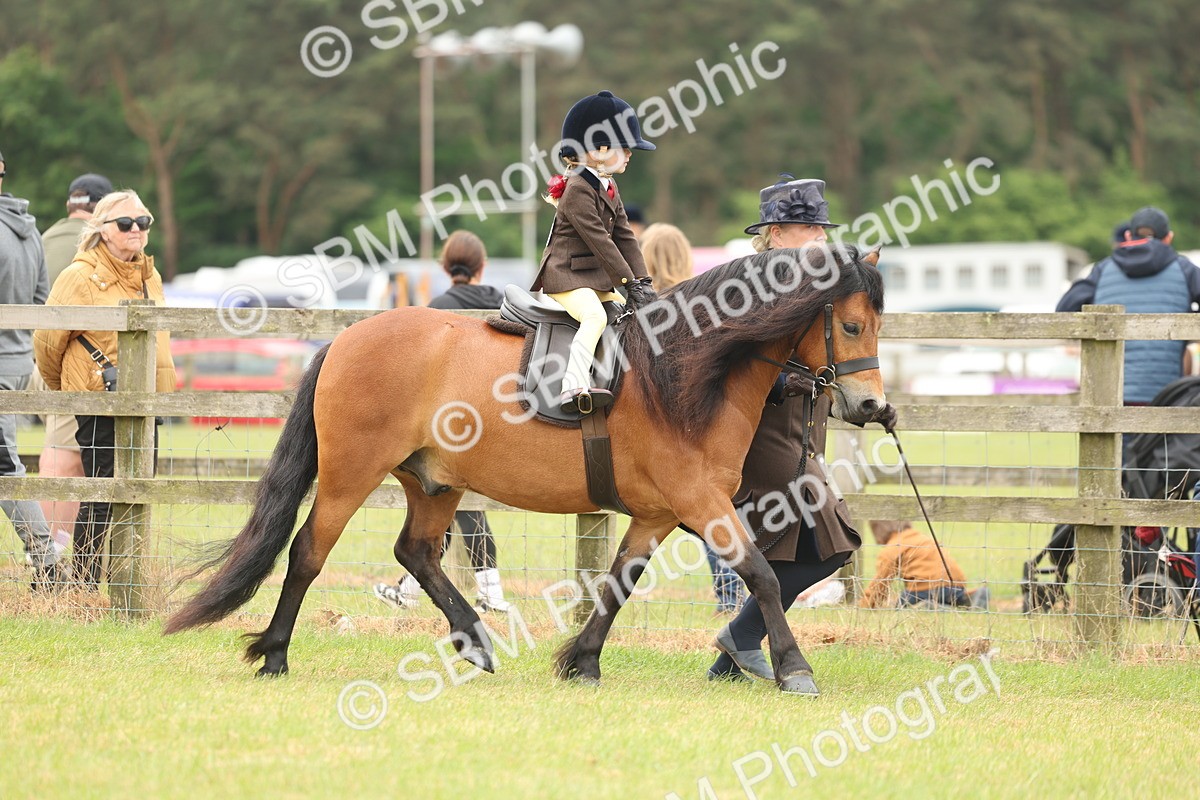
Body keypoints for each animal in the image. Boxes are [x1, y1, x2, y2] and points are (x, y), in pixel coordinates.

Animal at [165, 243, 886, 693]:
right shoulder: (699, 502)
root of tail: (344, 338)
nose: (871, 405)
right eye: (851, 327)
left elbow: (617, 584)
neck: (686, 370)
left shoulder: (658, 514)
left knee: (416, 552)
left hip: (435, 482)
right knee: (309, 553)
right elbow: (762, 576)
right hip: (350, 475)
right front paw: (794, 669)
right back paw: (274, 653)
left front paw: (581, 662)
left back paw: (476, 640)